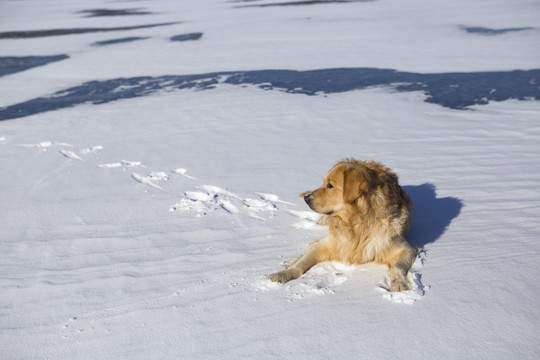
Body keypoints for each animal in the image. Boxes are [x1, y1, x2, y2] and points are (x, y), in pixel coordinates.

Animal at [270, 160, 418, 292]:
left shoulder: (406, 249)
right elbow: (301, 262)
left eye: (330, 185)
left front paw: (399, 283)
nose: (307, 198)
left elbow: (397, 266)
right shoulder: (325, 244)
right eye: (324, 183)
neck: (357, 223)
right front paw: (283, 274)